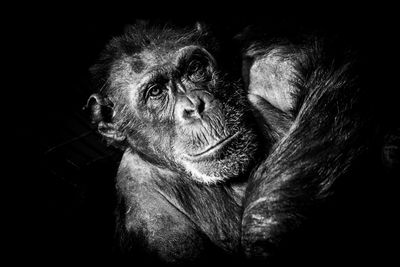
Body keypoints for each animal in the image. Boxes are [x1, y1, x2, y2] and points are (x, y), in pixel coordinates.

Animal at [87, 21, 388, 266]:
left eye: (194, 69)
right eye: (156, 92)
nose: (194, 106)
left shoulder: (274, 60)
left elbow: (342, 76)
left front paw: (265, 228)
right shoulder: (150, 222)